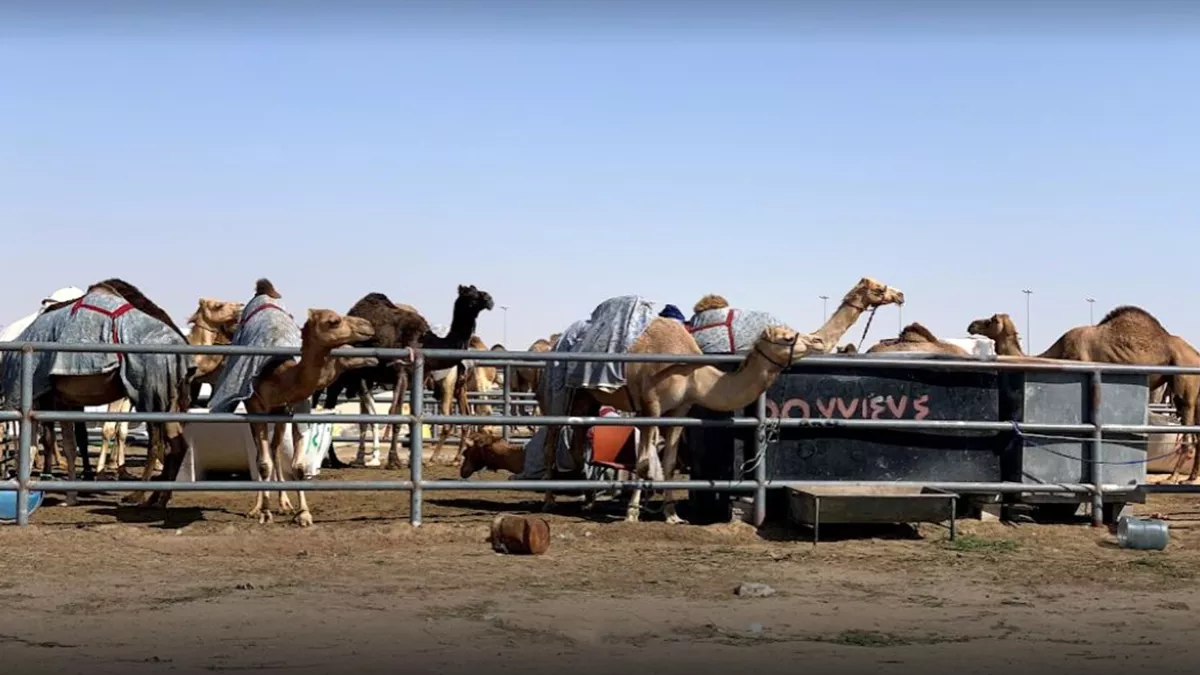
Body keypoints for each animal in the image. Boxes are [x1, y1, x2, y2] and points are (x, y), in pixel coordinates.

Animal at [0, 279, 195, 508]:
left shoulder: (42, 395)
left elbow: (38, 442)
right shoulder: (62, 399)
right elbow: (68, 443)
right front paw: (71, 496)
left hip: (151, 390)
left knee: (157, 442)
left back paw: (138, 496)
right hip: (169, 395)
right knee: (175, 444)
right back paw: (158, 498)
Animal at [208, 279, 376, 526]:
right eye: (333, 321)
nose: (368, 325)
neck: (279, 375)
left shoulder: (296, 406)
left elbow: (298, 466)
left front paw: (303, 514)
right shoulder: (256, 407)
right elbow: (263, 463)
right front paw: (264, 512)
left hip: (279, 413)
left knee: (276, 448)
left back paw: (284, 503)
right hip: (257, 411)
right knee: (261, 455)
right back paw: (257, 508)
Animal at [540, 313, 826, 524]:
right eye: (787, 338)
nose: (818, 341)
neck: (691, 373)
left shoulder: (680, 410)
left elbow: (667, 462)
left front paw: (671, 514)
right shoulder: (651, 406)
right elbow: (643, 463)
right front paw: (632, 513)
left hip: (587, 398)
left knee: (579, 443)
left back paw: (588, 500)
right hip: (558, 392)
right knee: (551, 440)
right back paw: (548, 500)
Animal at [967, 307, 1200, 484]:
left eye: (990, 320)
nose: (971, 325)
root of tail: (1195, 355)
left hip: (1184, 384)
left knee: (1187, 429)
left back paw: (1172, 478)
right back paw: (1190, 478)